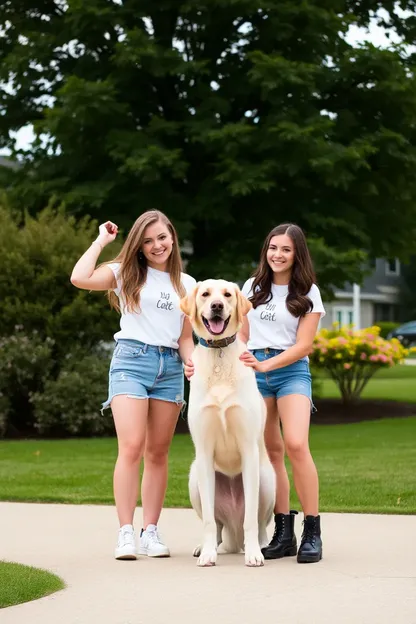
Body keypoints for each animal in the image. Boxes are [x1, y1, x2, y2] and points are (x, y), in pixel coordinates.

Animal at [180, 280, 274, 568]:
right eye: (205, 294)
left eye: (227, 295)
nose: (217, 306)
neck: (219, 353)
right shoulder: (204, 452)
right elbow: (210, 522)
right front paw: (208, 554)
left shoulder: (249, 449)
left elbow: (251, 520)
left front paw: (254, 554)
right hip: (194, 478)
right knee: (219, 525)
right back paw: (208, 547)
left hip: (267, 479)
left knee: (259, 523)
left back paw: (262, 547)